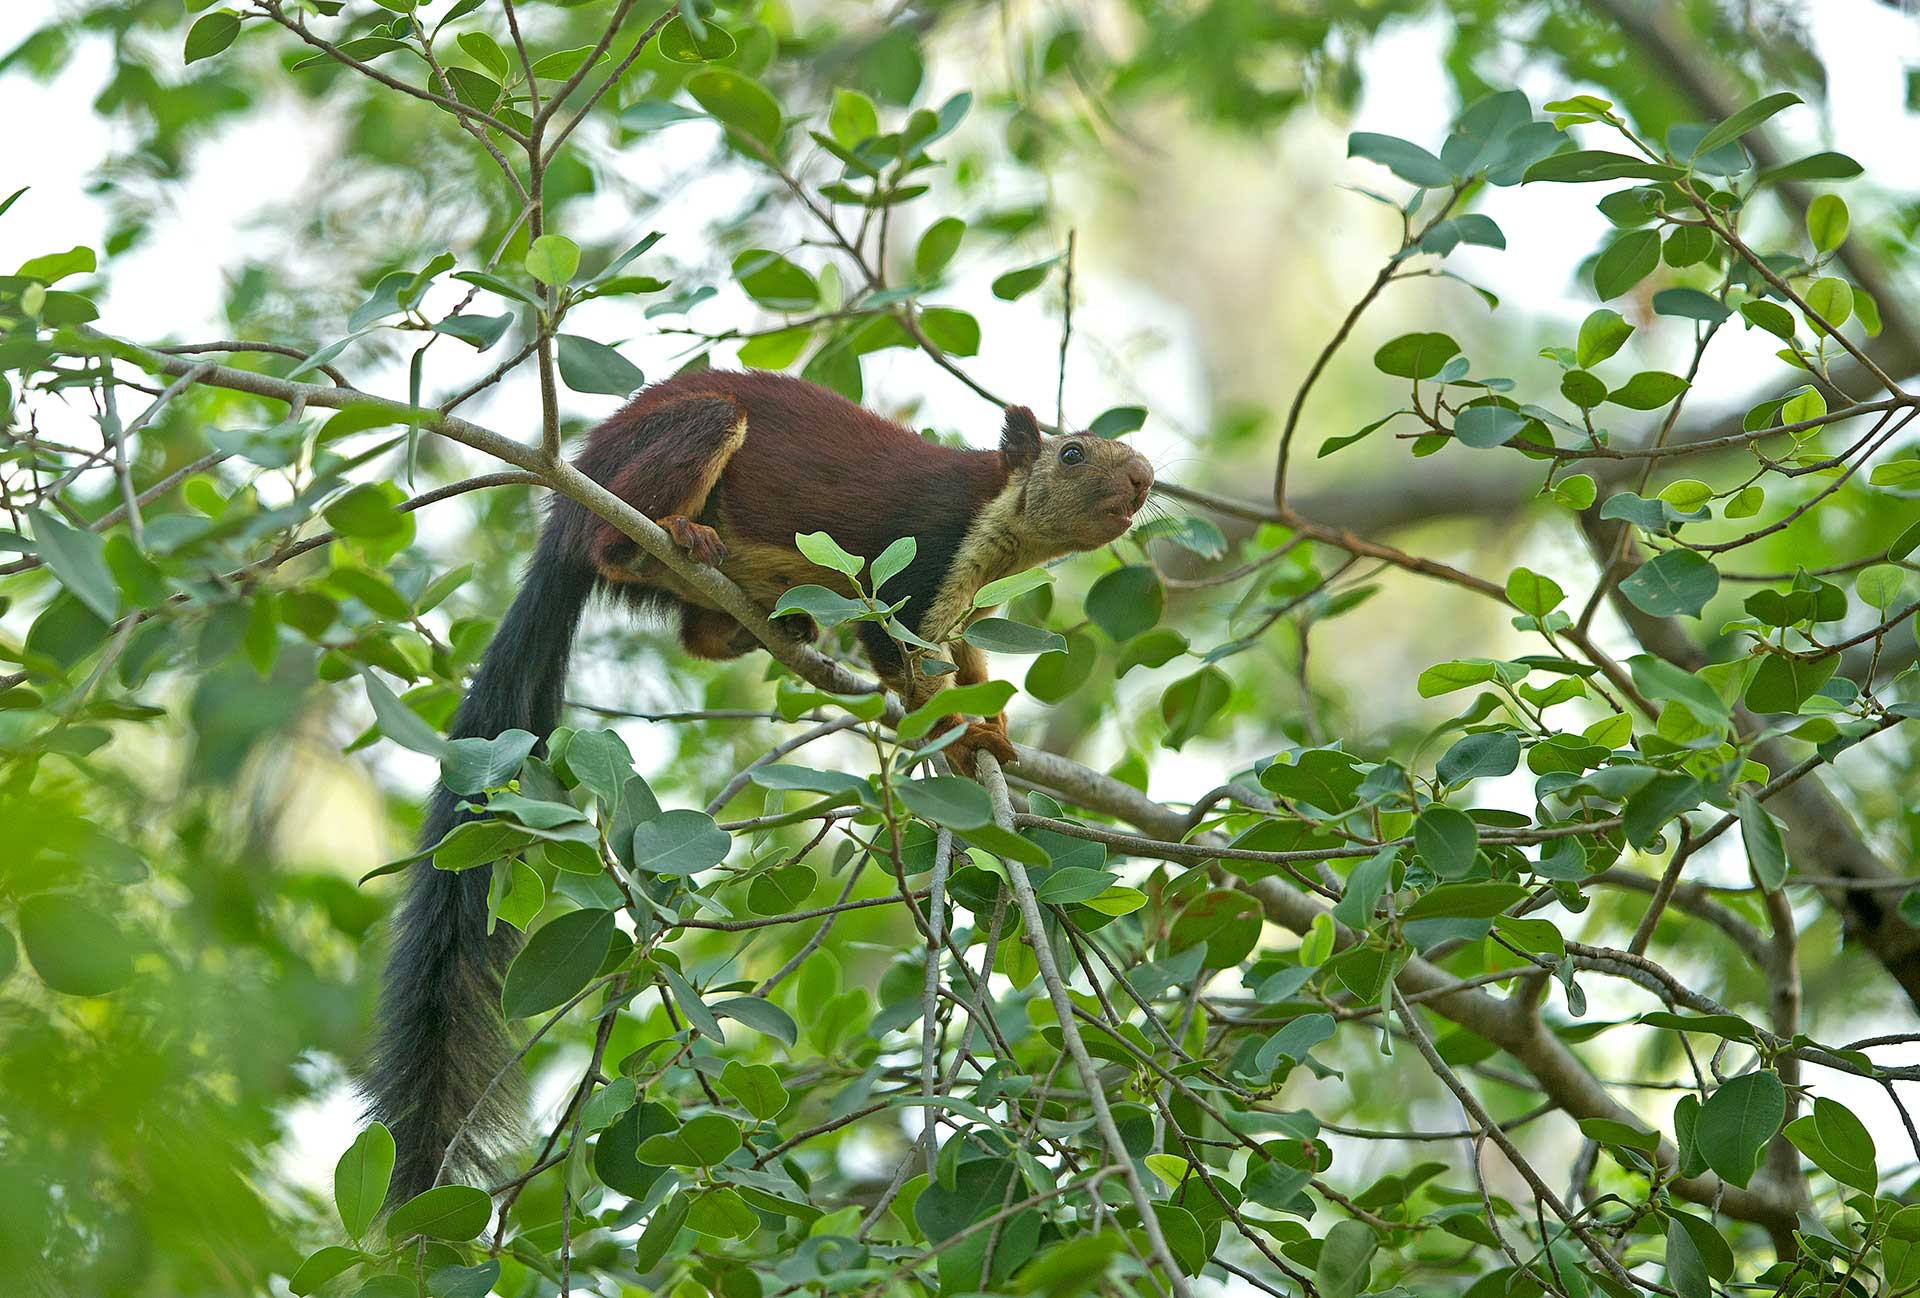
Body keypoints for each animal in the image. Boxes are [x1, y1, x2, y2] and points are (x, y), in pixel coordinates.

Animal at [363, 368, 1154, 1202]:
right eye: (1072, 453)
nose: (1144, 478)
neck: (996, 523)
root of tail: (566, 510)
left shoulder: (963, 609)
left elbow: (965, 663)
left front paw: (992, 727)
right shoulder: (920, 559)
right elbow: (899, 658)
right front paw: (964, 738)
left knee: (695, 634)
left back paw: (765, 624)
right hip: (673, 451)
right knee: (622, 539)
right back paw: (670, 537)